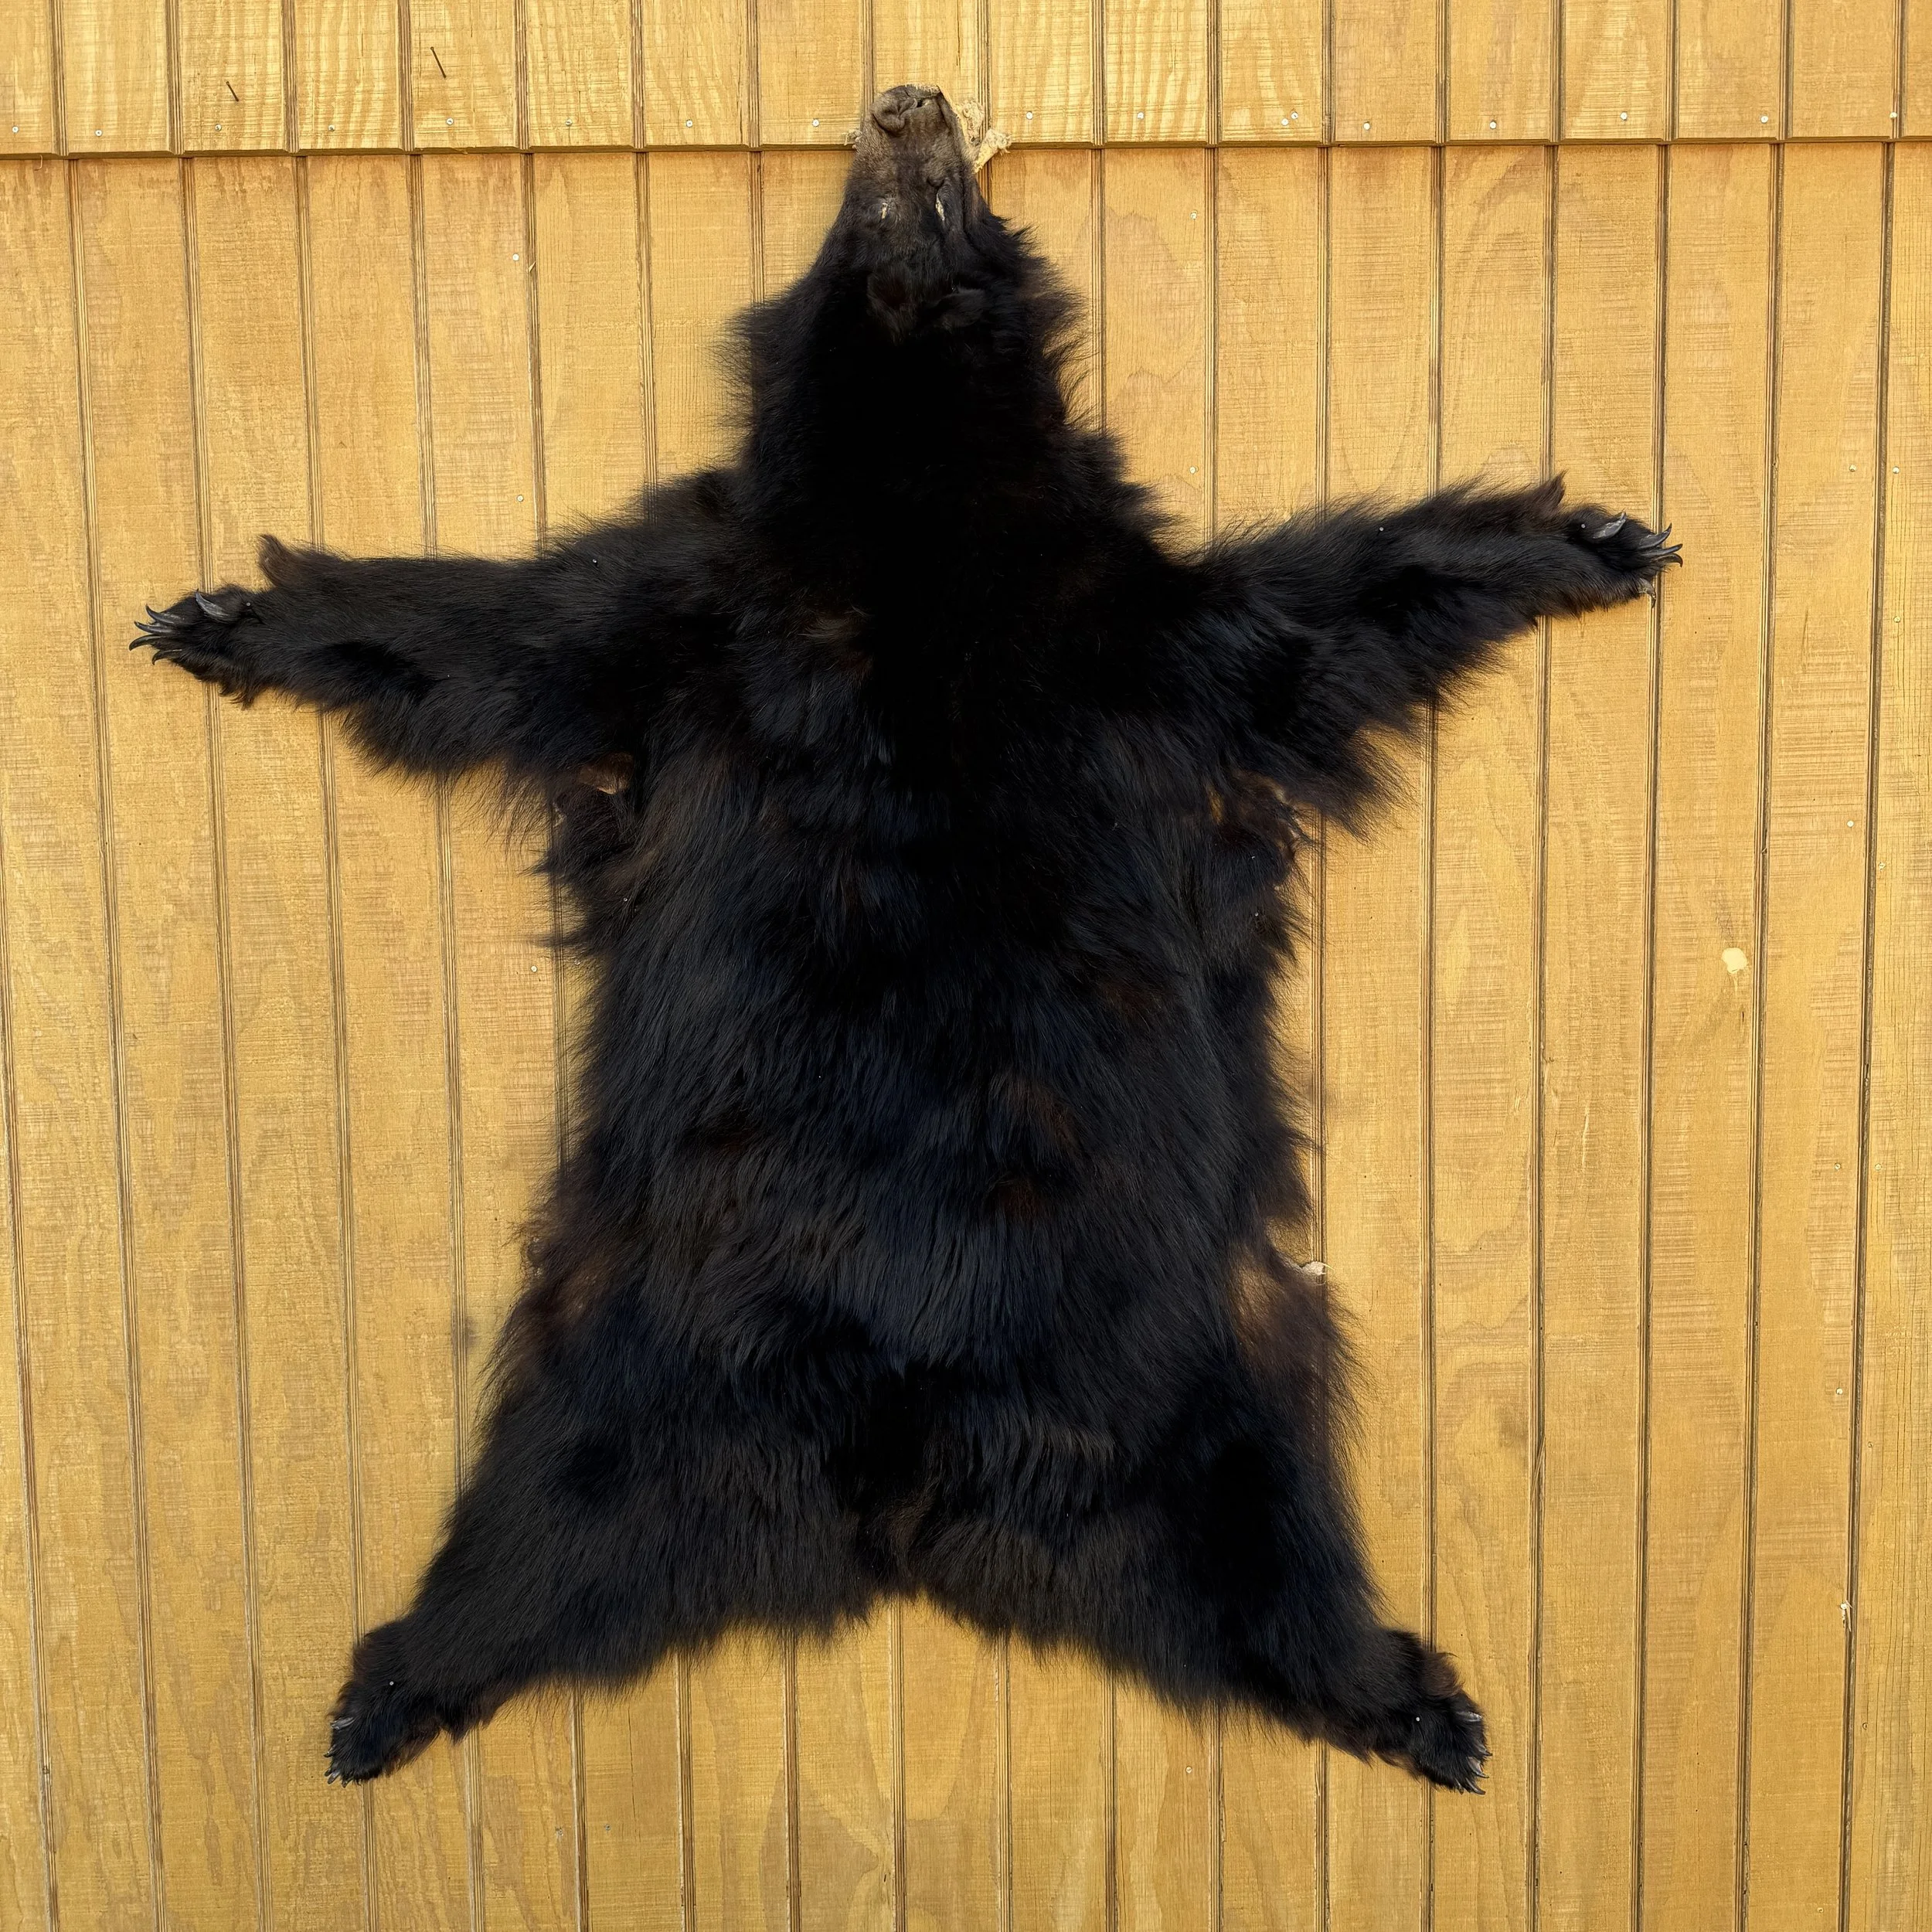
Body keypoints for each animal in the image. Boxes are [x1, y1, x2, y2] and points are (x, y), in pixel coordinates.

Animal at [135, 84, 1678, 1792]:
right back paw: (393, 1691)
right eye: (862, 214)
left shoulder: (1154, 628)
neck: (914, 514)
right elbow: (483, 633)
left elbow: (1344, 605)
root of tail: (900, 1465)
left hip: (1212, 1382)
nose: (907, 108)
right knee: (528, 1544)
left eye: (954, 211)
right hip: (609, 1383)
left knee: (1274, 1566)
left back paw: (1407, 1699)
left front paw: (1595, 539)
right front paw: (225, 617)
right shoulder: (681, 611)